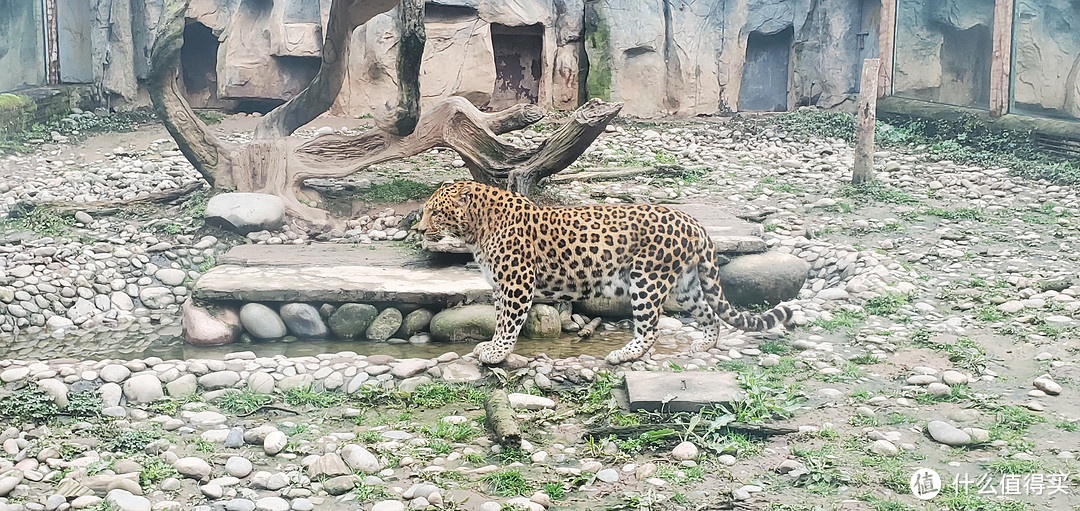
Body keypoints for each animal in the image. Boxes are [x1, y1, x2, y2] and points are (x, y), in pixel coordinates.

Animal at [412, 181, 794, 365]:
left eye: (435, 212)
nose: (419, 230)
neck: (477, 227)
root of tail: (694, 221)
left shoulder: (516, 283)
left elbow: (508, 322)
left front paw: (496, 354)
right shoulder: (499, 286)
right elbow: (498, 319)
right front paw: (491, 347)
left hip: (647, 279)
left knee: (650, 328)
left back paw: (624, 354)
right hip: (685, 285)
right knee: (710, 313)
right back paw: (703, 343)